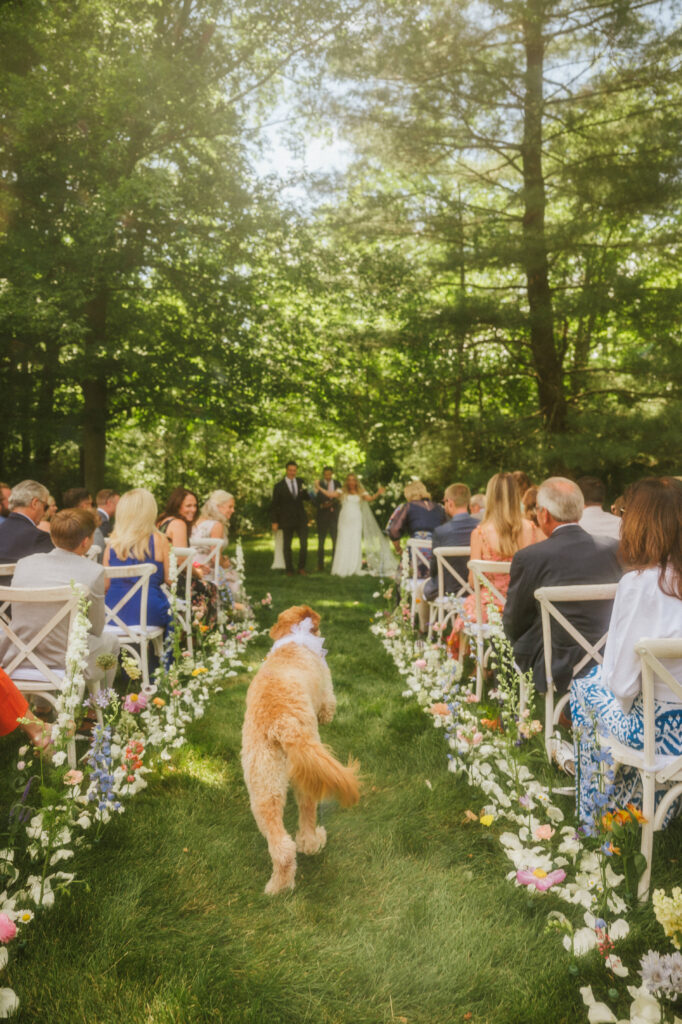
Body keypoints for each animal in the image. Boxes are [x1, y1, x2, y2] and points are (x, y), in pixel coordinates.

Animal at [240, 602, 358, 892]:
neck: (295, 639)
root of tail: (281, 724)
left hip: (263, 788)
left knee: (282, 845)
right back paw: (314, 841)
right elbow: (328, 707)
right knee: (306, 822)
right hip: (307, 778)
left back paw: (279, 886)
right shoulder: (328, 693)